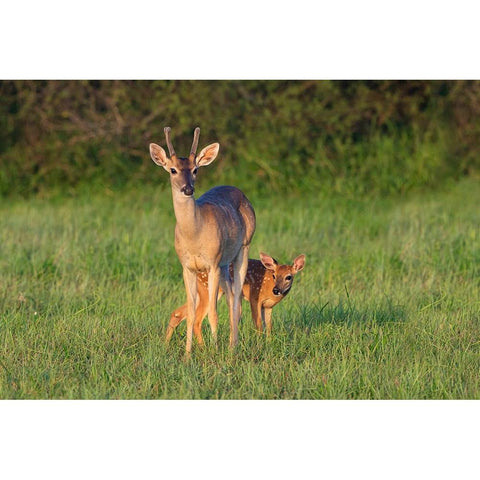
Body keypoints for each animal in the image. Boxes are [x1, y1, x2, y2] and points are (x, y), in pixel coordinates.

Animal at [149, 128, 255, 356]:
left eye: (195, 169)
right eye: (172, 170)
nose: (188, 189)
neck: (194, 237)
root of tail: (239, 191)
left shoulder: (212, 263)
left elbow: (214, 313)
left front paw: (214, 352)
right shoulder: (187, 267)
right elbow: (190, 312)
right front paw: (188, 354)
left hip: (243, 247)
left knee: (235, 299)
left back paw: (233, 347)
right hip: (224, 263)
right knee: (232, 296)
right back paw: (231, 344)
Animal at [167, 251, 306, 342]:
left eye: (289, 277)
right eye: (274, 275)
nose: (276, 290)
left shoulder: (268, 306)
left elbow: (269, 326)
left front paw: (269, 342)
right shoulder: (255, 297)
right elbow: (258, 324)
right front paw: (260, 343)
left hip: (200, 292)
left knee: (177, 313)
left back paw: (166, 344)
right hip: (208, 291)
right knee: (197, 320)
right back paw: (203, 348)